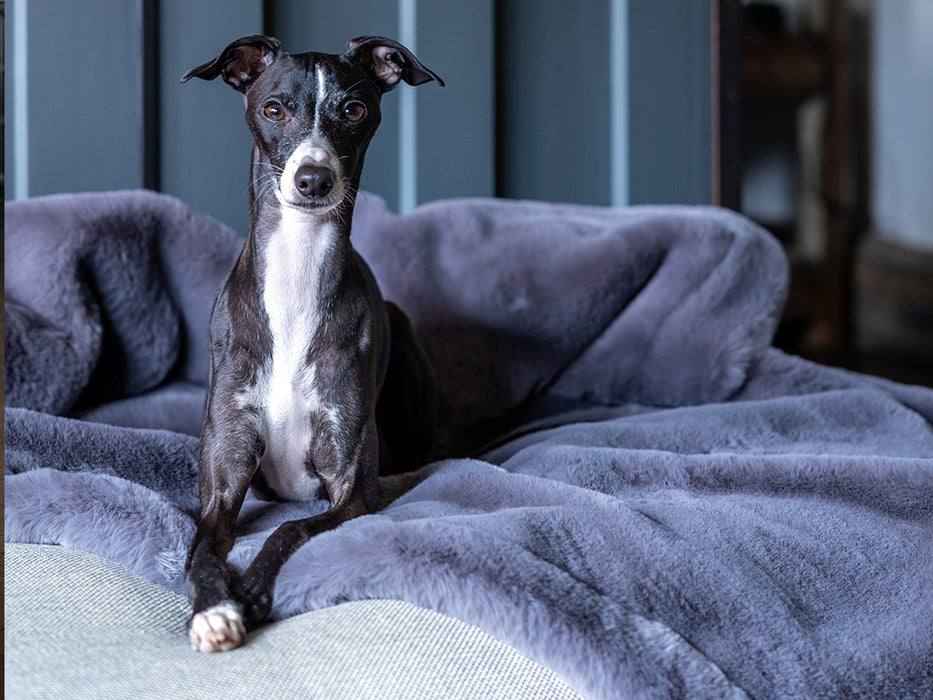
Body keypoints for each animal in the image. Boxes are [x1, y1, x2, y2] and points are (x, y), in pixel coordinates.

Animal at [183, 35, 444, 652]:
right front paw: (214, 608)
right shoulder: (224, 478)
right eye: (274, 108)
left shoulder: (352, 491)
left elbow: (290, 528)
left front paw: (251, 593)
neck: (296, 280)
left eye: (354, 109)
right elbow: (201, 546)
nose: (313, 179)